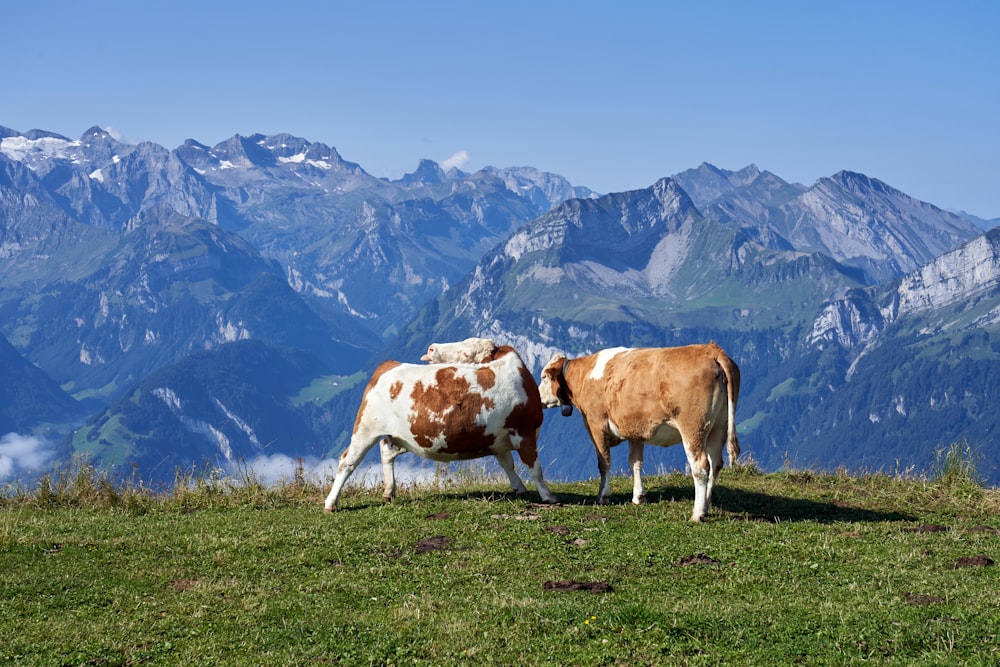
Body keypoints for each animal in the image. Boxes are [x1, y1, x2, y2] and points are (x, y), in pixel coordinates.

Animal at [324, 344, 560, 512]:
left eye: (466, 353)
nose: (431, 349)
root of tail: (389, 365)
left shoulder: (499, 439)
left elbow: (508, 464)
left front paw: (519, 487)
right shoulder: (525, 433)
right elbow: (535, 468)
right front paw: (548, 496)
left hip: (400, 435)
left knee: (386, 451)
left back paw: (389, 492)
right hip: (366, 428)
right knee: (347, 461)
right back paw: (331, 503)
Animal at [540, 344, 744, 520]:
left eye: (543, 377)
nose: (539, 399)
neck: (584, 376)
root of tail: (711, 350)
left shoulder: (595, 423)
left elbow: (604, 462)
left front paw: (602, 496)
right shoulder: (635, 430)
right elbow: (635, 463)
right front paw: (639, 496)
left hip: (693, 427)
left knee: (701, 466)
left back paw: (697, 513)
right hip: (719, 426)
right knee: (715, 464)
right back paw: (707, 506)